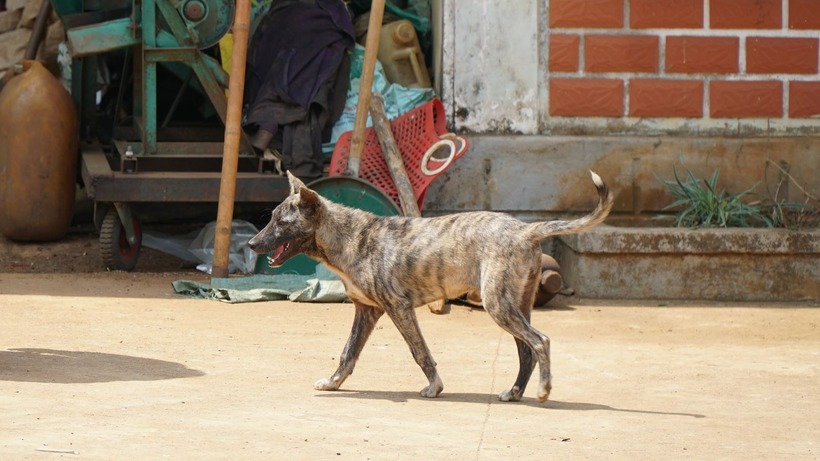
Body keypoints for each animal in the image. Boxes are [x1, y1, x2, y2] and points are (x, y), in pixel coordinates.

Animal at [250, 171, 616, 400]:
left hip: (498, 305)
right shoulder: (366, 311)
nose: (252, 245)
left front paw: (434, 387)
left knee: (540, 342)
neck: (347, 238)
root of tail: (526, 230)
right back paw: (514, 393)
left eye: (282, 222)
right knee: (526, 351)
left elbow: (420, 352)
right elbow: (347, 353)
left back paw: (542, 391)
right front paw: (333, 382)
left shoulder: (398, 307)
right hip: (516, 305)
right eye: (272, 219)